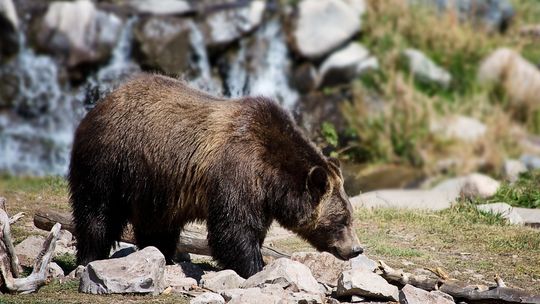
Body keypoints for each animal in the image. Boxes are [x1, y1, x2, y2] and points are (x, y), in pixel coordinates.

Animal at [68, 73, 362, 278]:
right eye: (342, 220)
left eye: (350, 216)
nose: (356, 249)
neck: (272, 177)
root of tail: (101, 103)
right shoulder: (237, 172)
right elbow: (233, 229)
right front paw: (255, 267)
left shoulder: (260, 196)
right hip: (111, 162)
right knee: (98, 212)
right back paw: (90, 257)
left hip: (155, 184)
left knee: (157, 225)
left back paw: (163, 255)